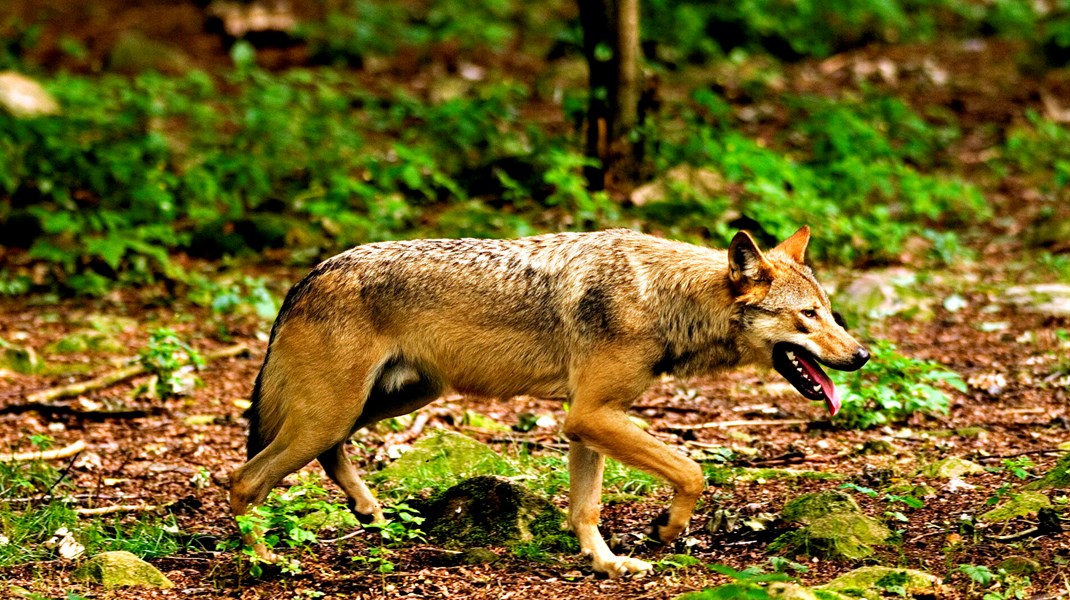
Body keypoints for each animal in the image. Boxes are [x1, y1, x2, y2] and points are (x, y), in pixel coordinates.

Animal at [227, 224, 868, 577]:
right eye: (808, 316)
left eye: (830, 312)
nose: (862, 355)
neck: (665, 298)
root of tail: (311, 273)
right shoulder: (589, 415)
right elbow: (691, 471)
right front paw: (664, 530)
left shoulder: (586, 423)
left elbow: (585, 508)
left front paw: (607, 564)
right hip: (335, 411)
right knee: (244, 479)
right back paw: (262, 561)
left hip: (395, 400)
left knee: (325, 454)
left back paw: (369, 512)